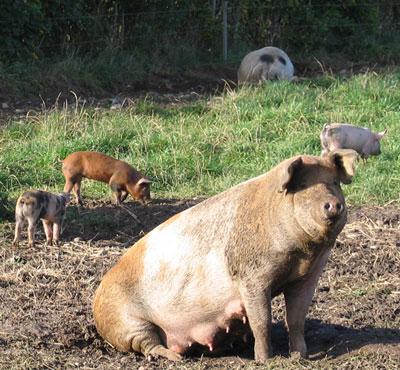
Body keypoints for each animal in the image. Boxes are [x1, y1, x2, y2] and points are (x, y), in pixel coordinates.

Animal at [92, 150, 358, 362]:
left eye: (335, 182)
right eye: (303, 185)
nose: (333, 204)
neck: (302, 255)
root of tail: (97, 296)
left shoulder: (306, 278)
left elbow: (296, 319)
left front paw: (300, 357)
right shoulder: (251, 277)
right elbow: (262, 322)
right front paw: (265, 360)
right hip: (126, 321)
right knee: (148, 344)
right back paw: (177, 358)